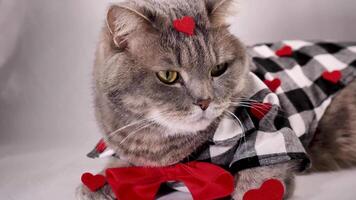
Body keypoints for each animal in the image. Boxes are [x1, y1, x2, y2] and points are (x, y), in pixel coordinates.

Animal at [77, 0, 356, 199]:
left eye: (218, 69)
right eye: (168, 76)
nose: (204, 101)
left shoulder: (271, 129)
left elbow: (263, 171)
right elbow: (117, 167)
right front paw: (97, 183)